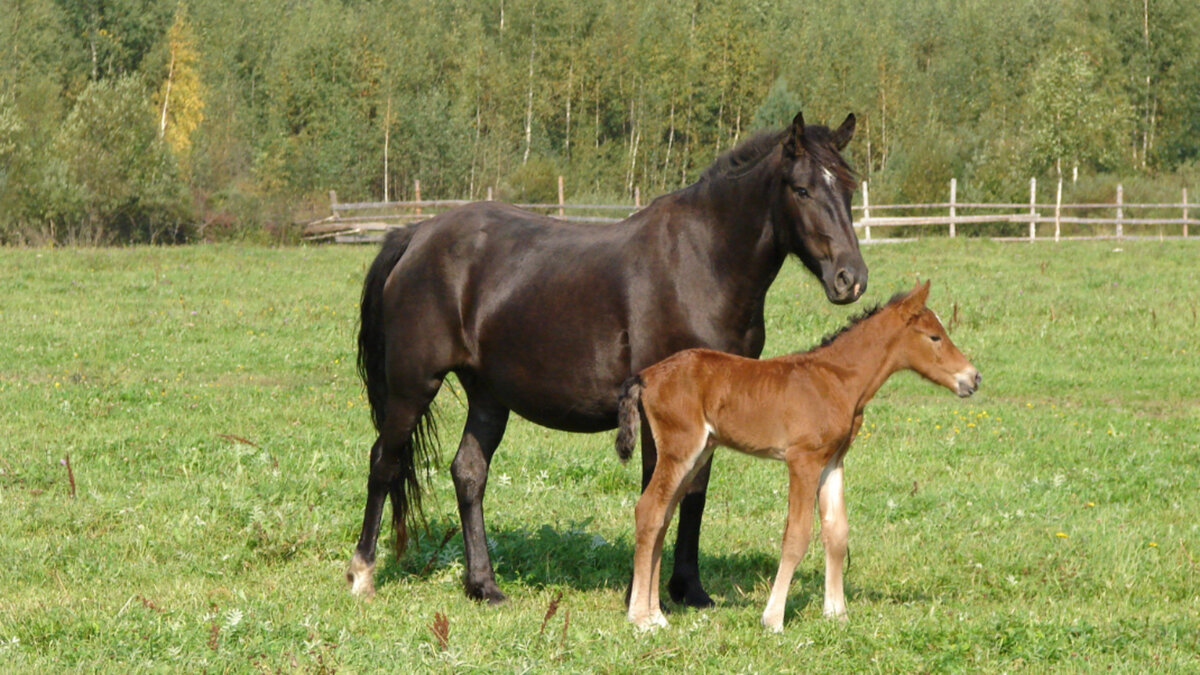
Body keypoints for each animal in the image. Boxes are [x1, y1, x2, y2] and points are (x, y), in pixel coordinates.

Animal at [343, 110, 868, 605]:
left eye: (848, 188)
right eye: (801, 189)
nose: (851, 278)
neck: (701, 264)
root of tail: (415, 235)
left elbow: (694, 493)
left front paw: (689, 589)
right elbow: (660, 493)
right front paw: (643, 594)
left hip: (488, 395)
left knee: (469, 473)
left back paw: (483, 585)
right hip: (414, 385)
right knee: (384, 463)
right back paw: (362, 573)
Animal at [619, 281, 984, 629]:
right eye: (935, 336)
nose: (974, 378)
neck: (837, 380)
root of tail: (646, 376)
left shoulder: (832, 462)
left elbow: (836, 533)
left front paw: (837, 614)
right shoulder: (803, 460)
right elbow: (796, 536)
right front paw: (773, 618)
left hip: (697, 455)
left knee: (662, 516)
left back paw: (656, 614)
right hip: (681, 449)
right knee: (649, 511)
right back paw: (641, 618)